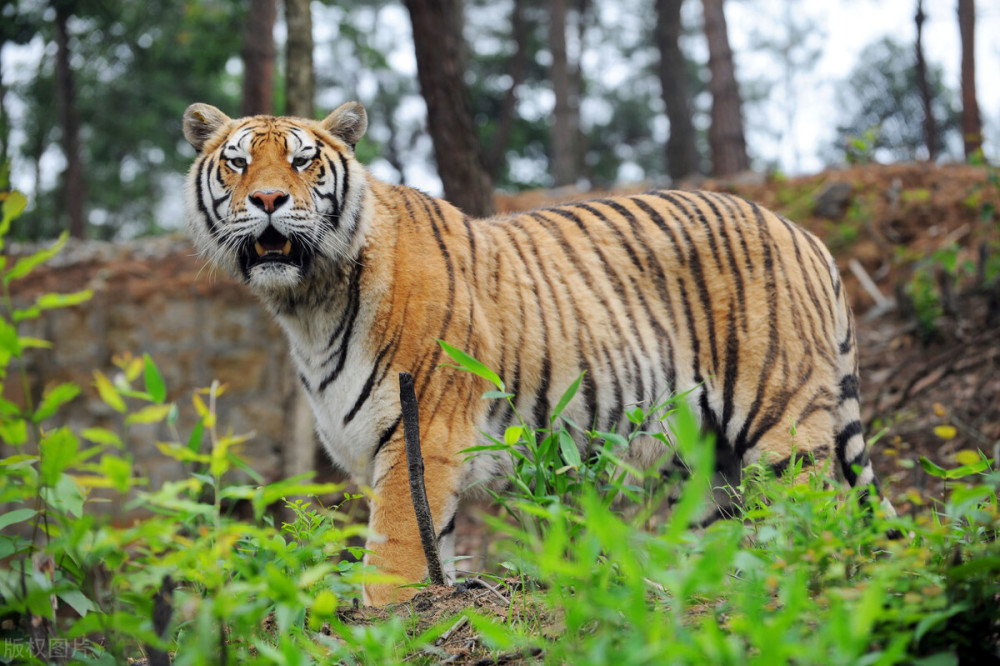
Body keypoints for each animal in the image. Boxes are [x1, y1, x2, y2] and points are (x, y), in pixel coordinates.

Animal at [180, 101, 892, 604]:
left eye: (302, 163)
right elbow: (431, 553)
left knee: (815, 516)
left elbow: (392, 561)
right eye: (238, 163)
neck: (308, 304)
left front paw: (383, 628)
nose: (267, 200)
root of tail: (804, 234)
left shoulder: (421, 433)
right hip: (707, 465)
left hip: (782, 423)